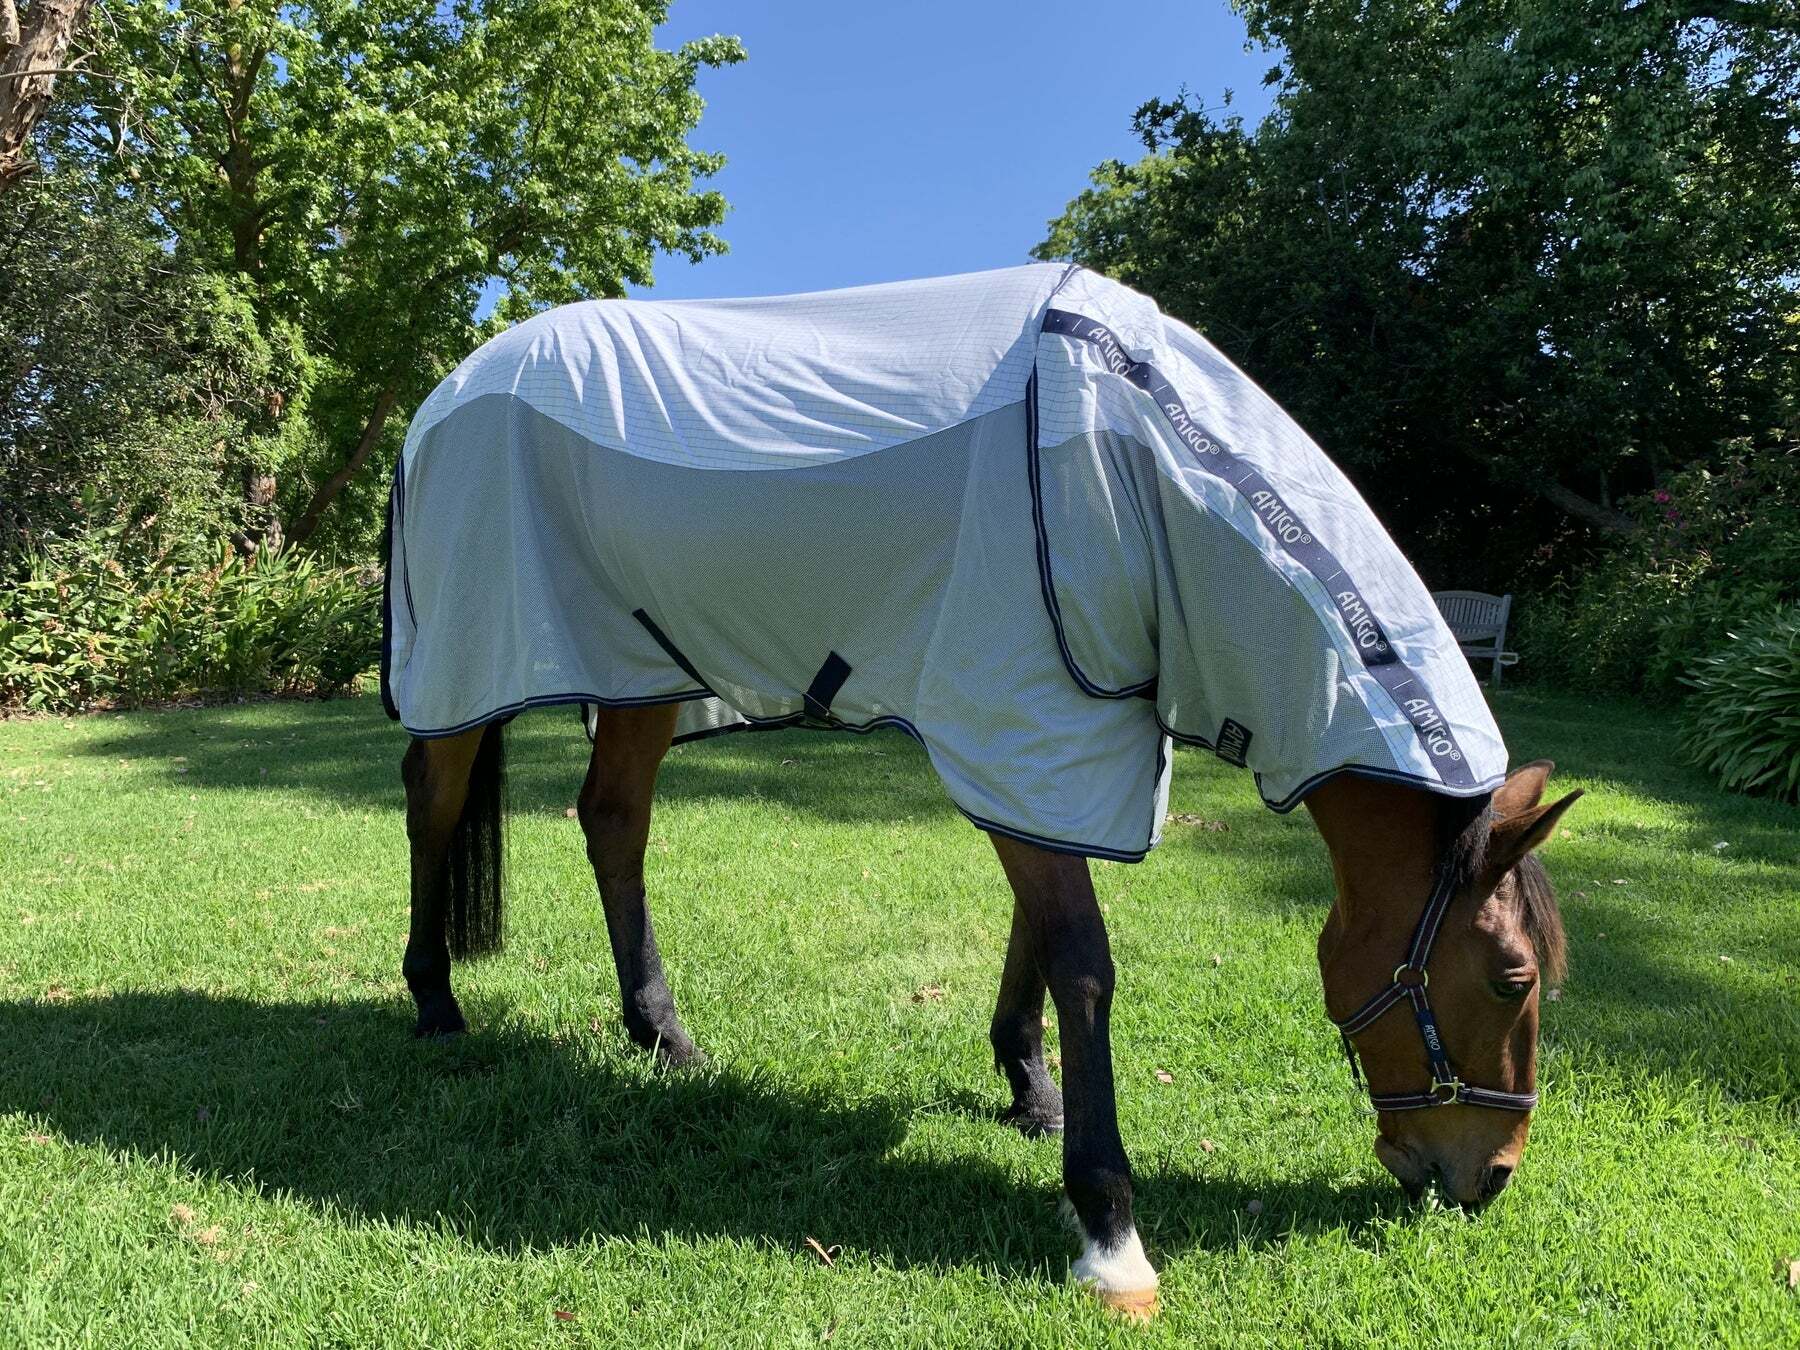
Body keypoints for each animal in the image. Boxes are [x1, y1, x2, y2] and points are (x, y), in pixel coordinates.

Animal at [383, 263, 1579, 1317]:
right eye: (1512, 979)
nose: (1492, 1178)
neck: (1140, 467)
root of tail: (444, 397)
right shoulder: (1020, 712)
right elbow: (1083, 966)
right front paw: (1109, 1233)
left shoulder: (1050, 747)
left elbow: (1035, 940)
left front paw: (1029, 1091)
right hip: (476, 659)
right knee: (434, 803)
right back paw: (436, 1004)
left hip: (642, 671)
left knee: (614, 824)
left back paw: (662, 1036)